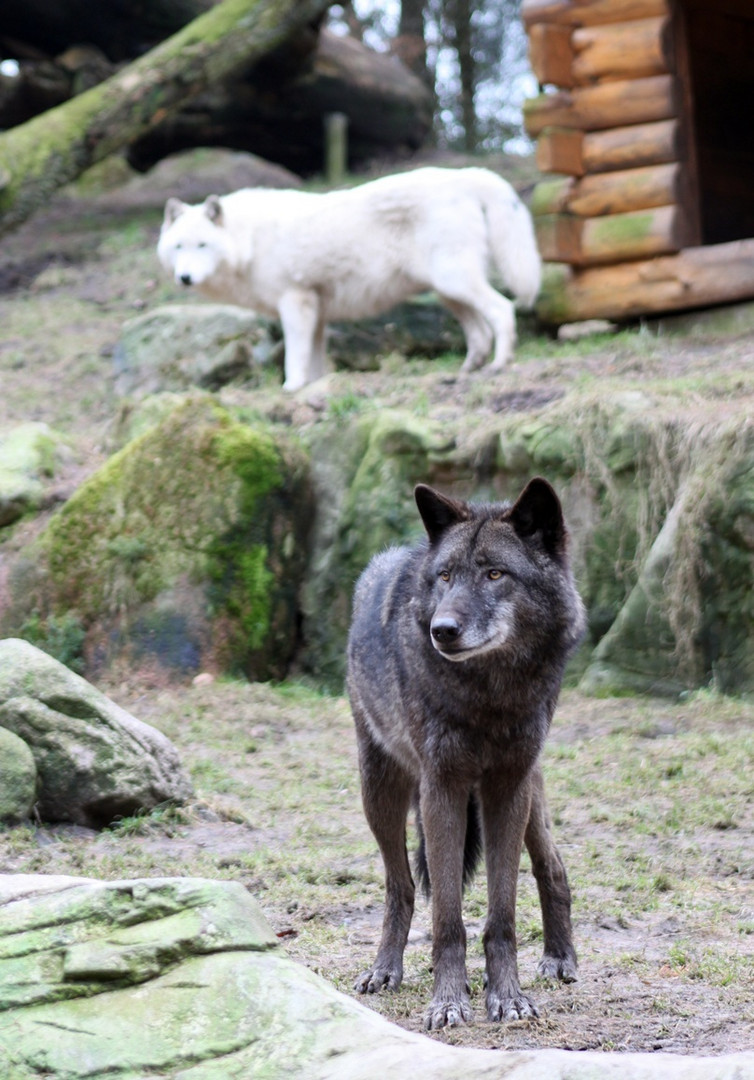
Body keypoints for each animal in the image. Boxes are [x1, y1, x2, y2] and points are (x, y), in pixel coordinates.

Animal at [155, 166, 537, 390]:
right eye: (178, 247)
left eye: (202, 245)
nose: (185, 277)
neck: (248, 241)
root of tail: (464, 174)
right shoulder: (317, 310)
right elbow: (315, 359)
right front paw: (313, 385)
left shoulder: (296, 302)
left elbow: (294, 355)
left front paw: (291, 388)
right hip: (448, 292)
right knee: (478, 332)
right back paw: (467, 370)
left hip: (454, 282)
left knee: (502, 310)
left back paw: (500, 364)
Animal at [343, 479, 583, 1028]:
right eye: (447, 576)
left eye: (495, 574)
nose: (442, 629)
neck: (488, 697)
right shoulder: (442, 788)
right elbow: (447, 918)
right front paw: (449, 1000)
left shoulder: (507, 788)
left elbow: (502, 916)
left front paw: (508, 996)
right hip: (379, 790)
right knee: (401, 886)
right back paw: (385, 969)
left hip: (530, 791)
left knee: (553, 867)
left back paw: (560, 957)